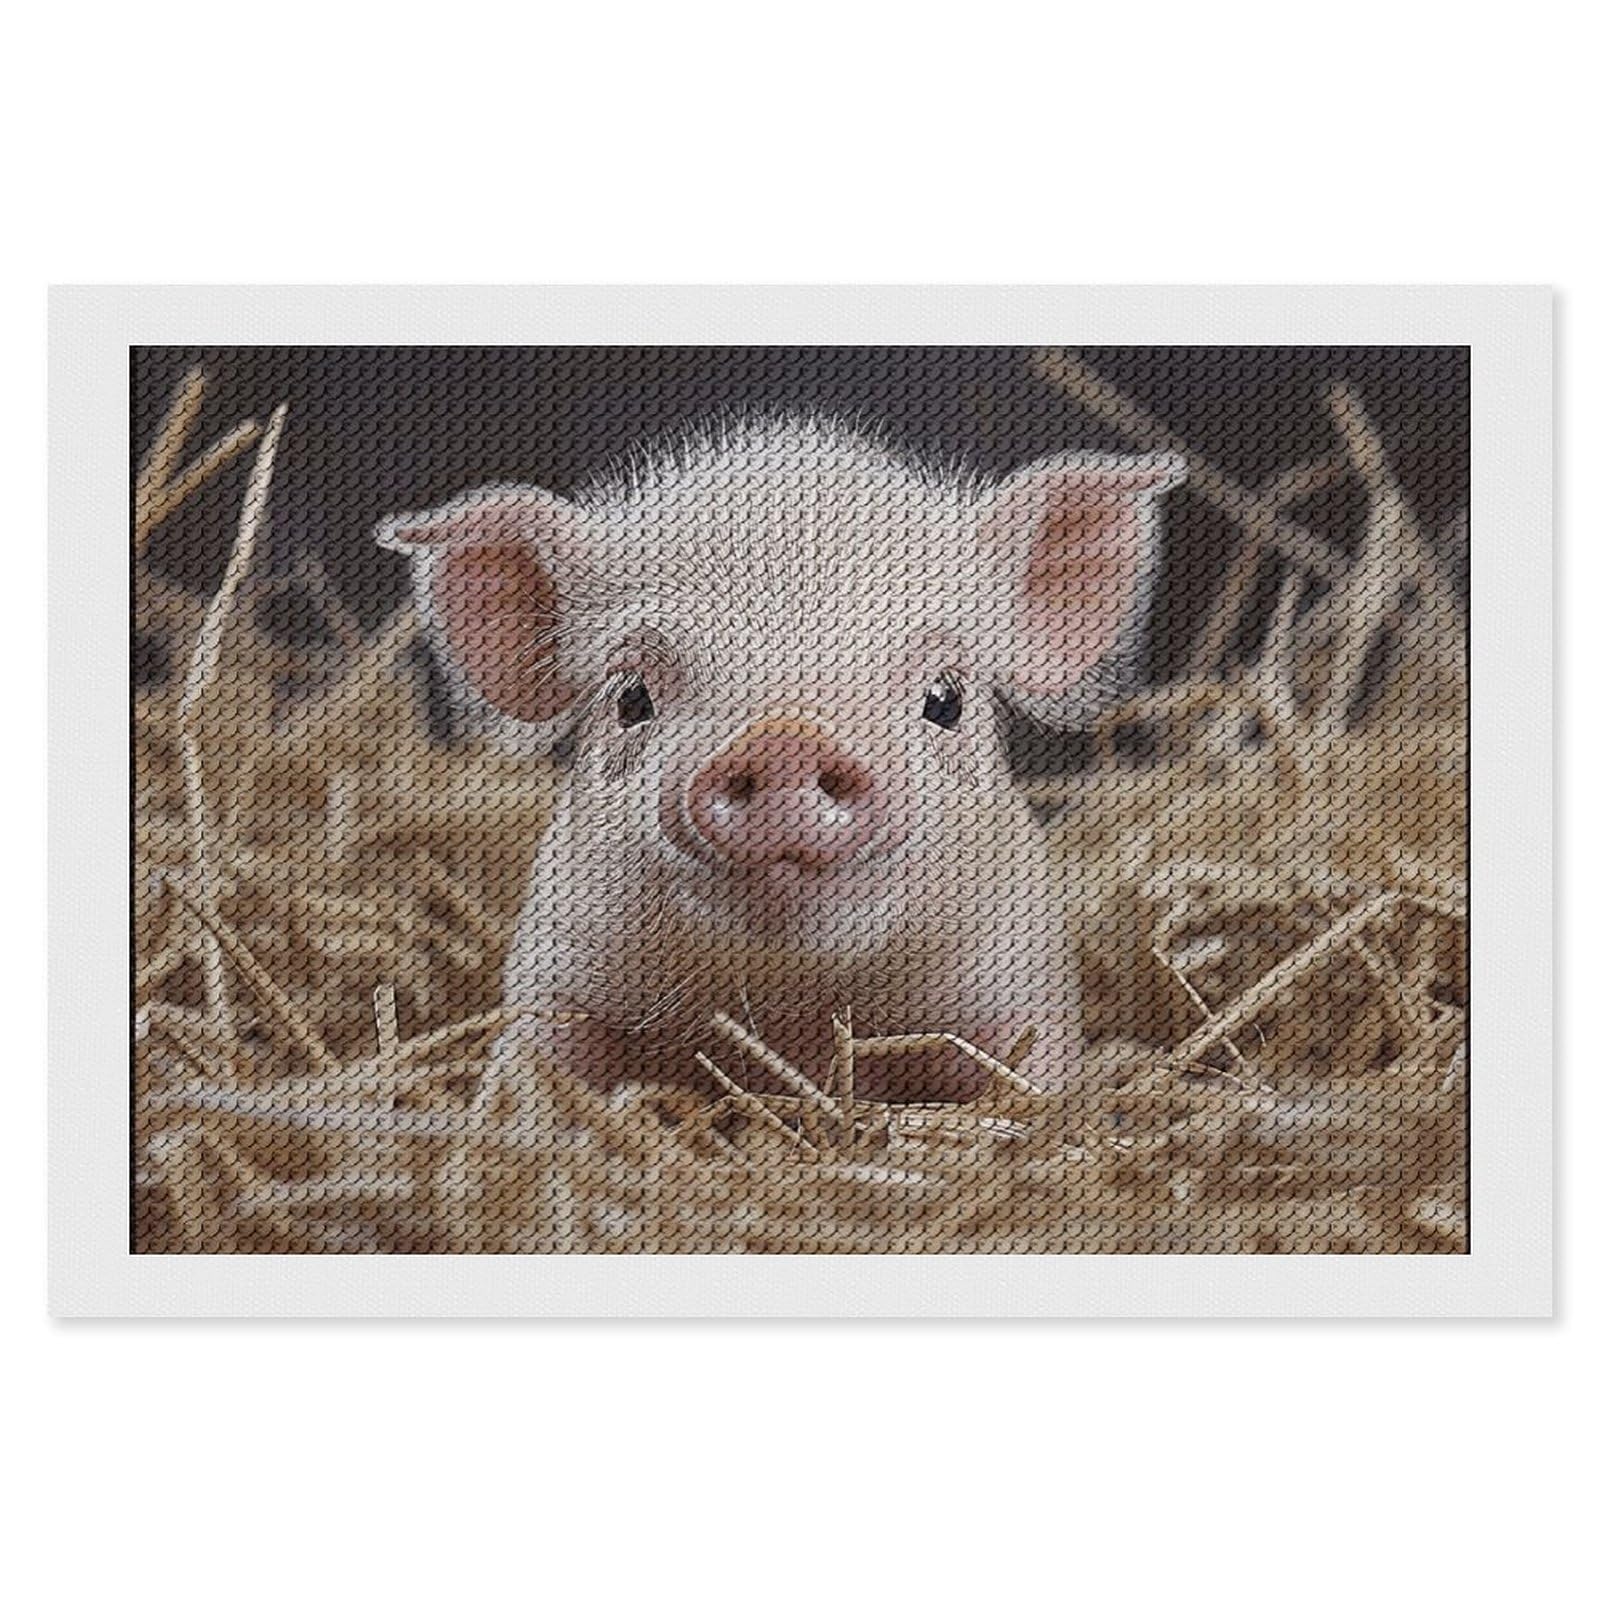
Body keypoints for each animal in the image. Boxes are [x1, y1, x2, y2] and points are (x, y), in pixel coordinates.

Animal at [378, 415, 1184, 1102]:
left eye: (945, 697)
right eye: (631, 695)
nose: (786, 740)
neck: (791, 1015)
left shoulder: (1021, 983)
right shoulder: (557, 970)